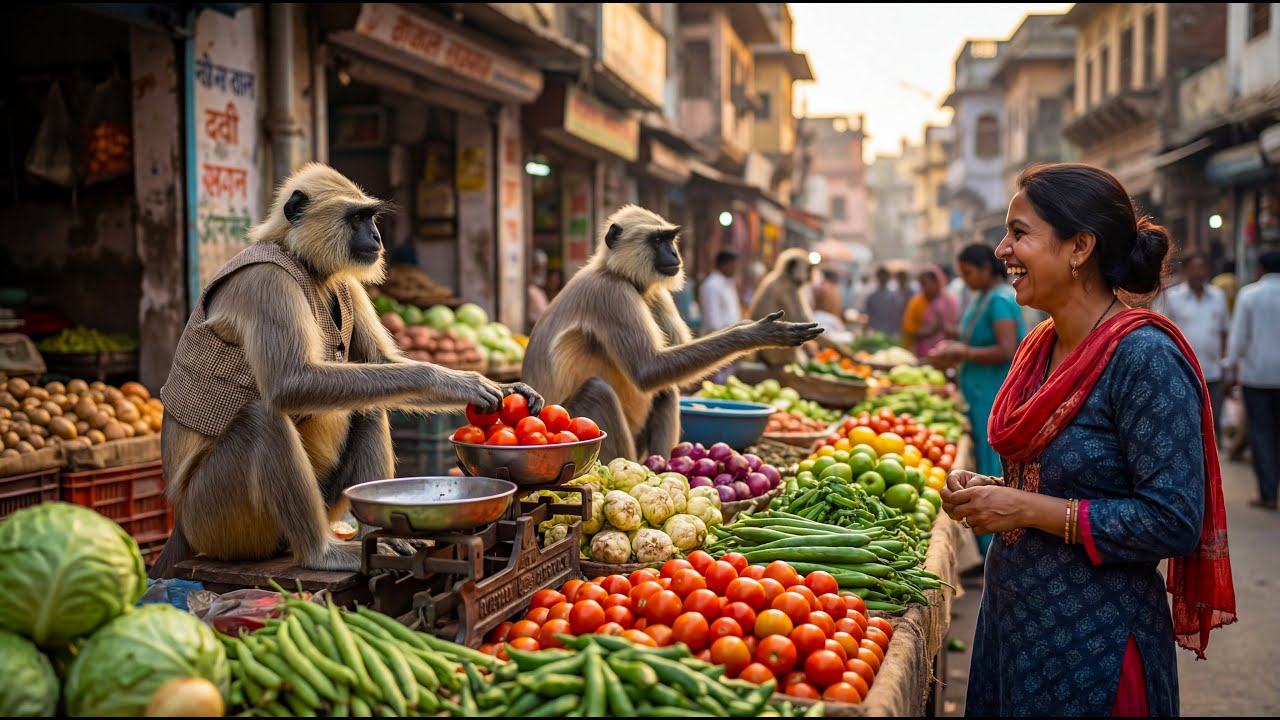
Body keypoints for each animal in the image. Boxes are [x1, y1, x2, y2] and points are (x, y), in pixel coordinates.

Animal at [148, 163, 543, 578]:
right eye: (357, 219)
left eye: (370, 218)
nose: (376, 236)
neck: (302, 262)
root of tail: (181, 525)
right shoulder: (265, 282)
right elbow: (289, 383)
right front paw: (461, 381)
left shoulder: (347, 283)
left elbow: (382, 364)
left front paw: (507, 385)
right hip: (215, 520)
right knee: (263, 417)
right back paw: (321, 553)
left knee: (367, 402)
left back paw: (383, 535)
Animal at [521, 205, 823, 463]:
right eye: (657, 241)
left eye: (670, 239)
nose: (675, 255)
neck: (616, 273)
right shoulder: (611, 294)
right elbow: (648, 369)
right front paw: (757, 333)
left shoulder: (654, 293)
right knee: (599, 390)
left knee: (666, 388)